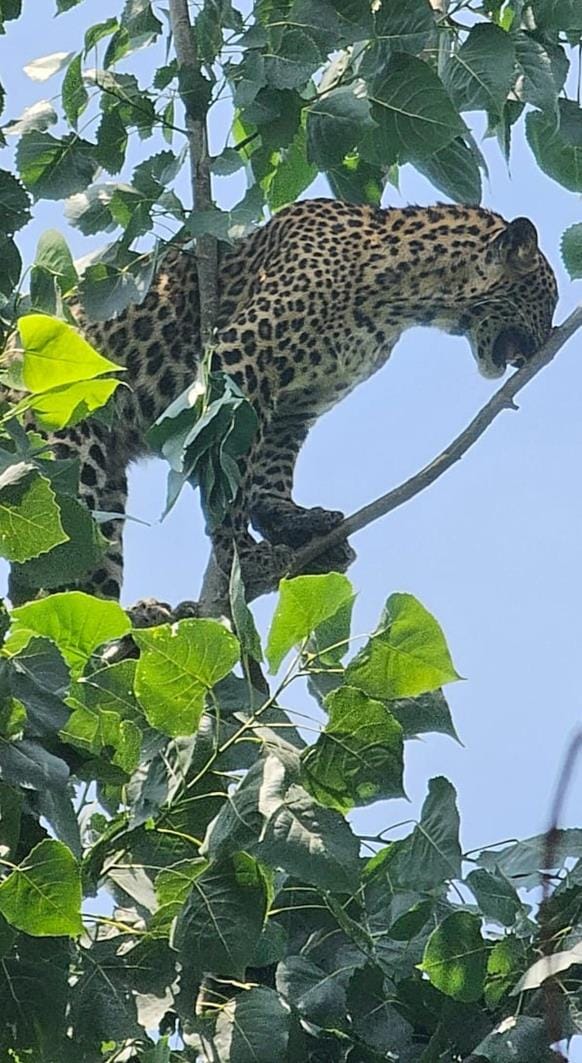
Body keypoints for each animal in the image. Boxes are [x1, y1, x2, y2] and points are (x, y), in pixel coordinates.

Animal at [6, 197, 558, 612]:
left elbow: (270, 473)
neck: (408, 294)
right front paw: (240, 553)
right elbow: (228, 471)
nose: (541, 347)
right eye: (546, 301)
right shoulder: (238, 363)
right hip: (68, 455)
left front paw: (293, 522)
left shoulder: (296, 404)